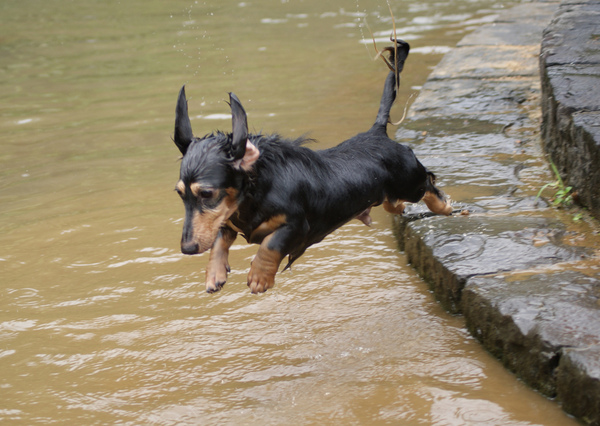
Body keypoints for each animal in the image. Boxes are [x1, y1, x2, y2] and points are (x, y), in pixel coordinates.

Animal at [169, 40, 450, 292]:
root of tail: (377, 132)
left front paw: (260, 277)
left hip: (409, 182)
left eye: (207, 193)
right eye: (180, 194)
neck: (259, 190)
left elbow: (270, 245)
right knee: (394, 203)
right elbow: (219, 240)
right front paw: (214, 275)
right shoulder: (226, 220)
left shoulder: (295, 225)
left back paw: (443, 206)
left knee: (427, 183)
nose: (187, 249)